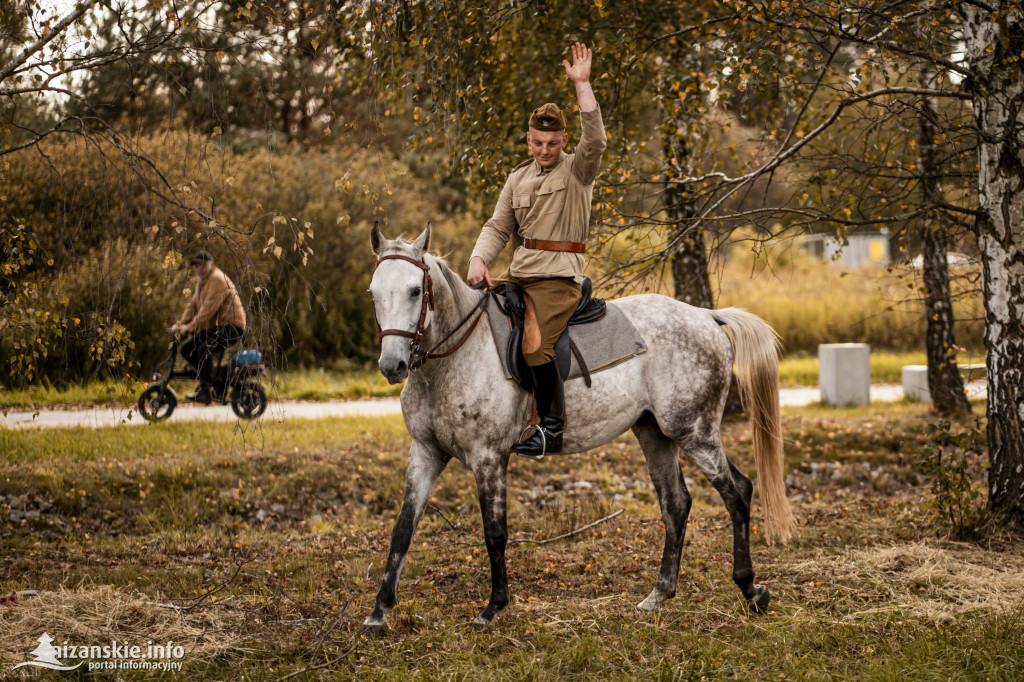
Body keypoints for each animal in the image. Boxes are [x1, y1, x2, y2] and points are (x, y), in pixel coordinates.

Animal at [364, 225, 794, 630]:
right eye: (373, 293)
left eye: (415, 290)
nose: (392, 366)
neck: (454, 357)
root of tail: (706, 316)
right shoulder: (425, 453)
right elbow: (402, 529)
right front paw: (379, 612)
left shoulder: (489, 458)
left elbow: (494, 532)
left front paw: (494, 607)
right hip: (654, 433)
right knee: (676, 504)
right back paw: (659, 594)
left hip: (694, 432)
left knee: (737, 492)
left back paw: (751, 589)